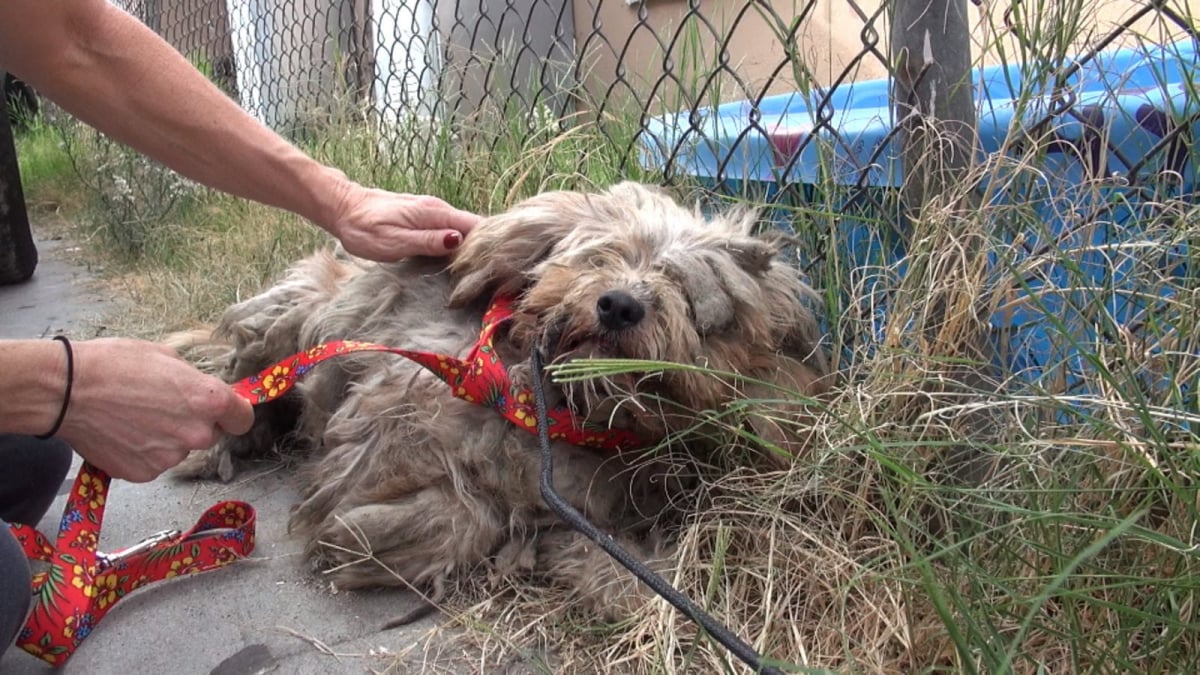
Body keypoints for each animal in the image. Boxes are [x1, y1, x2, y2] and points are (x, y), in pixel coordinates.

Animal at [177, 181, 830, 619]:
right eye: (605, 255)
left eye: (694, 299)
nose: (619, 304)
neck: (547, 409)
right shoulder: (380, 426)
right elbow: (459, 511)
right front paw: (361, 537)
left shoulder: (572, 515)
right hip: (295, 317)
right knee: (249, 375)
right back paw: (224, 437)